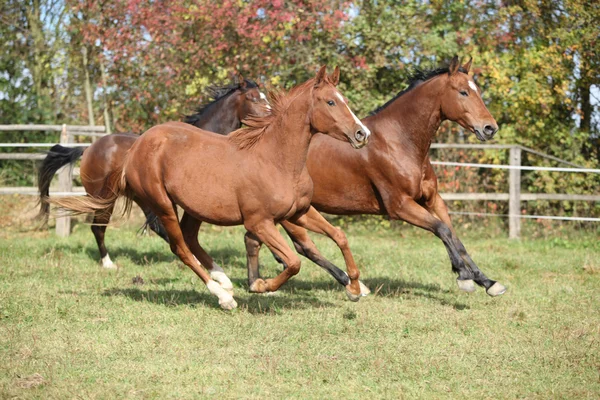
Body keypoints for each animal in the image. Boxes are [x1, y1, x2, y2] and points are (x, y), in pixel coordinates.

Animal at [37, 75, 270, 268]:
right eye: (253, 98)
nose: (272, 117)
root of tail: (88, 149)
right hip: (104, 197)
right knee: (98, 228)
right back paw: (108, 263)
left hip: (144, 198)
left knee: (156, 227)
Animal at [247, 57, 506, 298]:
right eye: (463, 92)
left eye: (477, 90)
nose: (490, 128)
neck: (399, 141)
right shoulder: (400, 206)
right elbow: (441, 229)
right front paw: (464, 276)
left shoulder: (432, 200)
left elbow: (454, 236)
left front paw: (488, 282)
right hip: (288, 215)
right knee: (303, 247)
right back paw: (351, 285)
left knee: (255, 239)